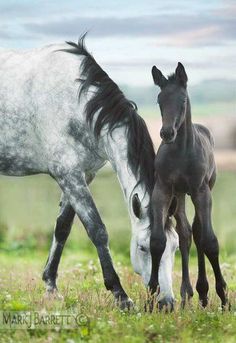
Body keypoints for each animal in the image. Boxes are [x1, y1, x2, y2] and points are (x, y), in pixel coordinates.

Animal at [0, 37, 178, 310]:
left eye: (175, 247)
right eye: (143, 247)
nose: (166, 302)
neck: (74, 103)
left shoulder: (83, 175)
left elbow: (62, 227)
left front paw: (51, 287)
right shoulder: (68, 175)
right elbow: (97, 230)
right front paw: (121, 295)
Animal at [148, 61, 228, 310]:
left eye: (183, 100)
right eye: (159, 100)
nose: (166, 133)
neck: (181, 153)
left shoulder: (201, 192)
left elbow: (210, 241)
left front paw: (224, 296)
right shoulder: (163, 190)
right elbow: (157, 241)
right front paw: (151, 296)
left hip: (199, 190)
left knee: (198, 230)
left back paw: (204, 293)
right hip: (180, 195)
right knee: (185, 231)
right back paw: (188, 293)